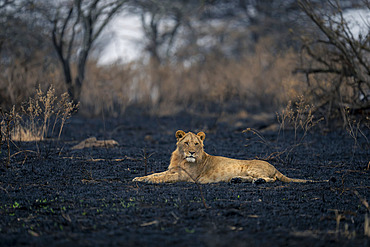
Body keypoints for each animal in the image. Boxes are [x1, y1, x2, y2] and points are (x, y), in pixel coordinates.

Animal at [132, 130, 316, 184]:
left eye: (196, 144)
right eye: (186, 143)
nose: (192, 152)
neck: (181, 158)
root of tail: (275, 166)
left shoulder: (186, 176)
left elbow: (162, 178)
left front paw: (149, 181)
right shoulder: (171, 170)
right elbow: (156, 173)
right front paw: (139, 178)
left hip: (253, 168)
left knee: (271, 179)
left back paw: (259, 181)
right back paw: (237, 180)